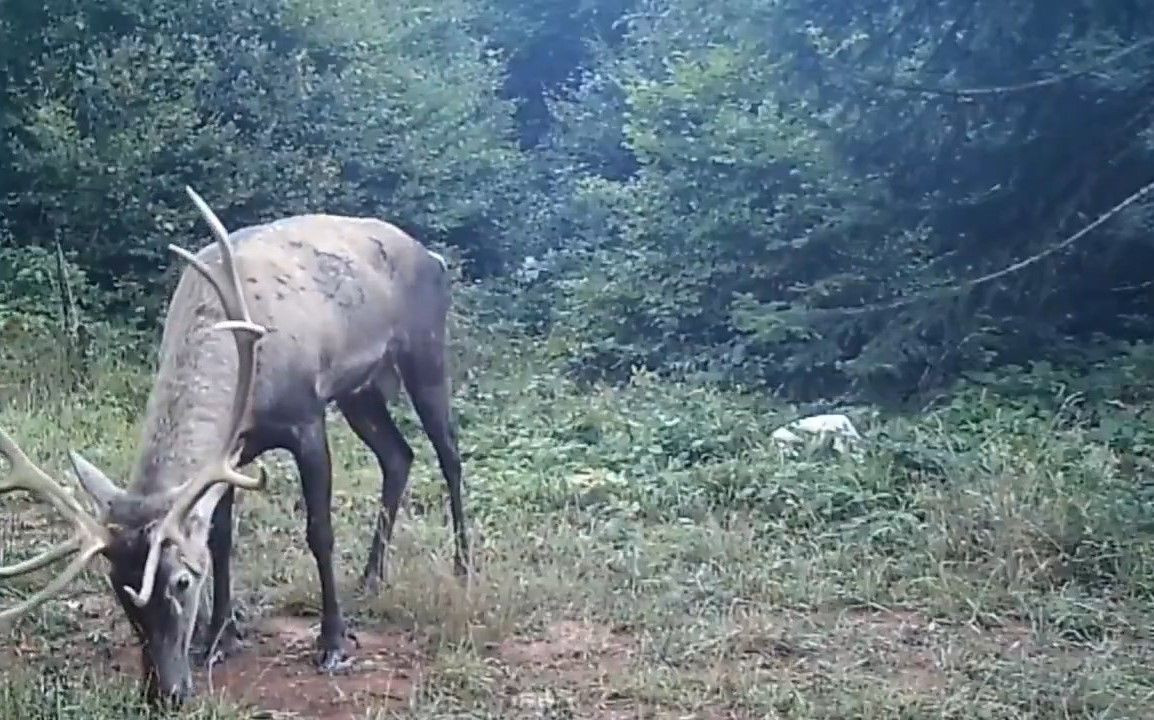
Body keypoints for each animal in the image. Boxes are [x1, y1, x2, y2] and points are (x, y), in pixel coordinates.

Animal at [1, 186, 468, 710]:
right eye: (117, 588)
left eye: (182, 581)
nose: (163, 692)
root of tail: (431, 257)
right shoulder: (232, 453)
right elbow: (221, 537)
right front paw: (220, 637)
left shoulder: (306, 418)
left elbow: (320, 532)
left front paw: (332, 643)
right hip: (360, 392)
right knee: (398, 456)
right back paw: (371, 576)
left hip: (425, 350)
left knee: (449, 454)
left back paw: (462, 565)